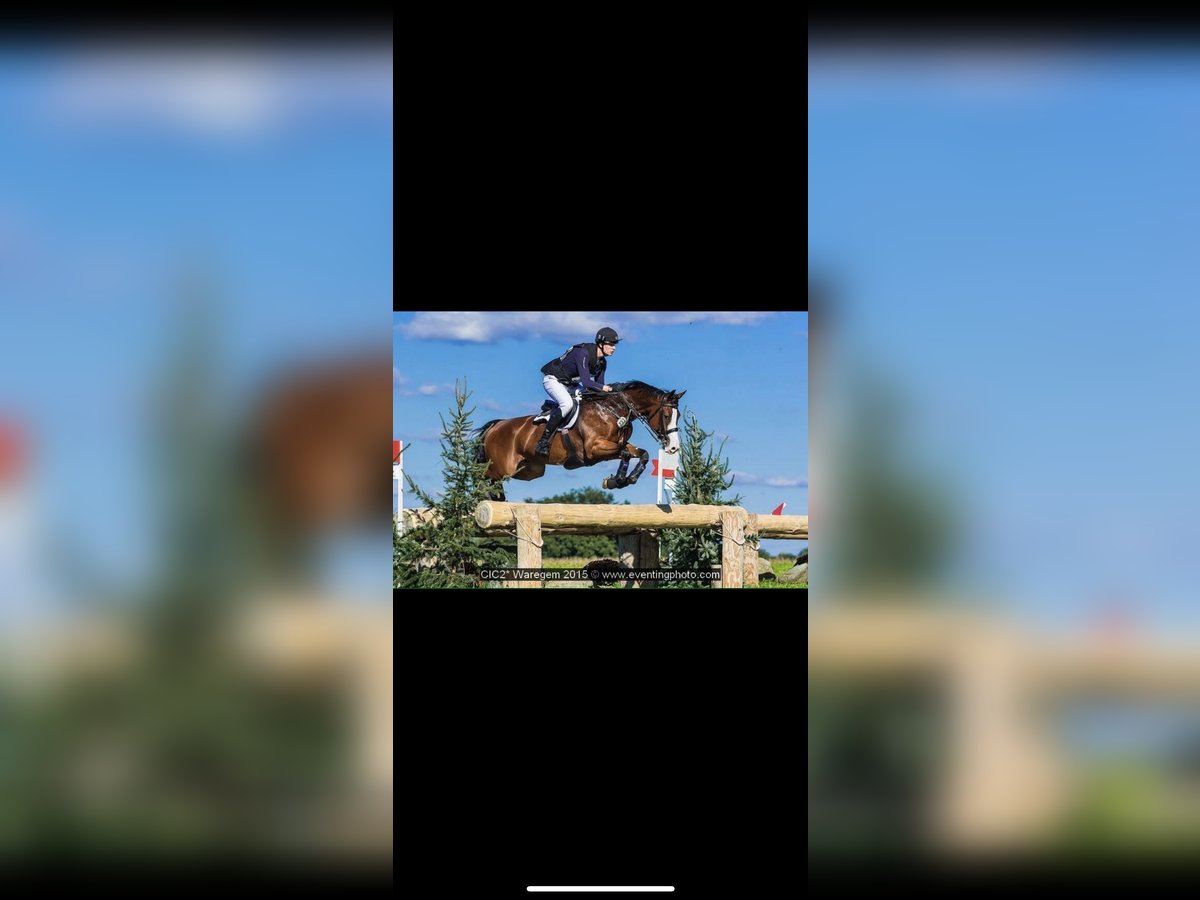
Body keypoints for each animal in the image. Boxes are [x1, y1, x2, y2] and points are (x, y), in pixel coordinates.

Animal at [474, 381, 685, 500]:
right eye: (667, 415)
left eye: (679, 416)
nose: (674, 448)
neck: (614, 409)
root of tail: (497, 425)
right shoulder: (594, 449)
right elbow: (625, 453)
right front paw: (617, 480)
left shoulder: (611, 448)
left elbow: (642, 454)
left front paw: (624, 480)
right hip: (503, 467)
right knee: (483, 474)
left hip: (530, 470)